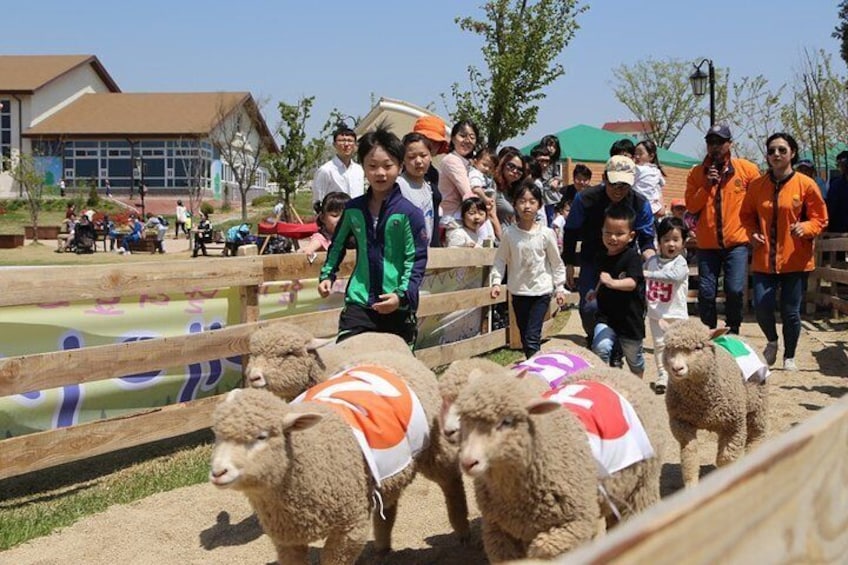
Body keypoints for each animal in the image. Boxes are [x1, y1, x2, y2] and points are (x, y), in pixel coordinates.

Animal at [454, 370, 600, 560]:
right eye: (463, 419)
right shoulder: (497, 530)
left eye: (507, 421)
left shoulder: (576, 524)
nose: (468, 462)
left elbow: (541, 549)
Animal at [664, 318, 768, 484]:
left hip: (758, 408)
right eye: (667, 347)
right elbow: (690, 457)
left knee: (756, 437)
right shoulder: (680, 422)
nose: (677, 368)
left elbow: (726, 459)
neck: (700, 403)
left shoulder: (735, 426)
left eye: (698, 347)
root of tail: (737, 336)